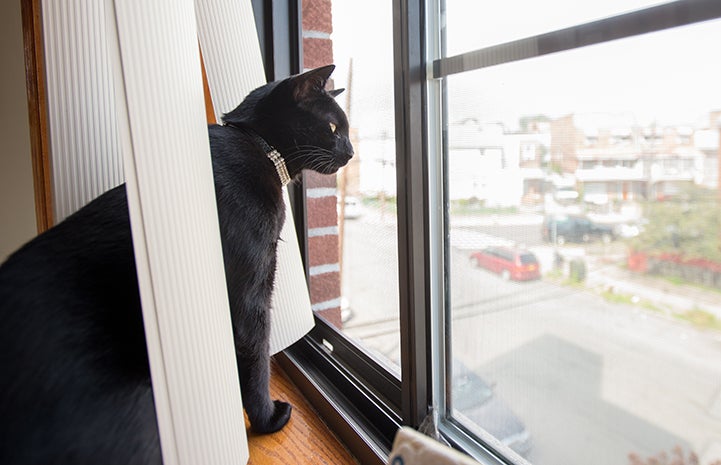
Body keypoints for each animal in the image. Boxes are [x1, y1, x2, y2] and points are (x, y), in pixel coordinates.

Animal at [0, 63, 352, 462]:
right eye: (334, 128)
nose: (352, 151)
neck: (259, 146)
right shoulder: (251, 294)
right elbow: (256, 357)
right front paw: (267, 418)